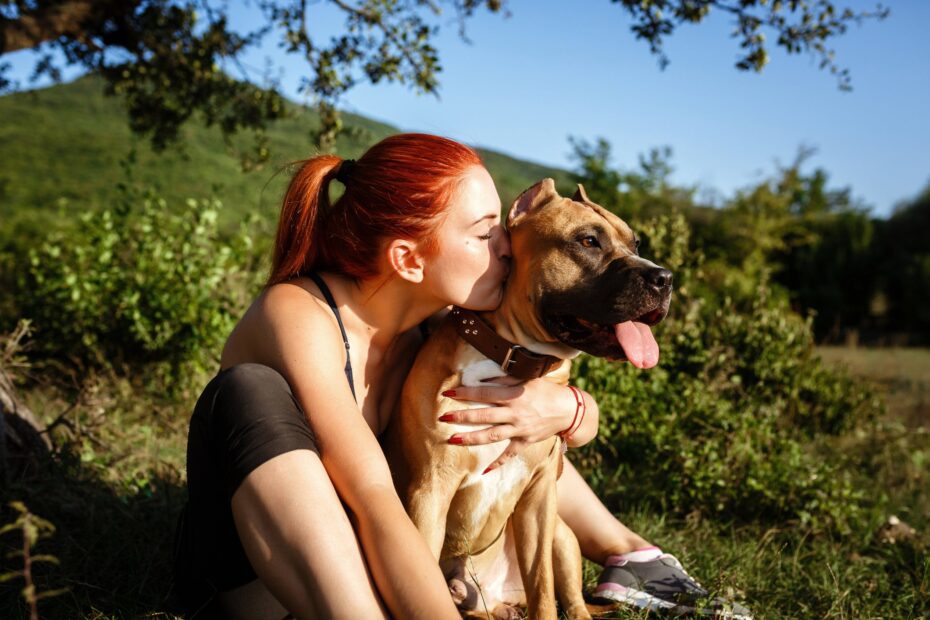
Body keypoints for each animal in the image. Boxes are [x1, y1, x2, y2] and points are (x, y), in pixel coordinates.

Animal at [382, 178, 668, 620]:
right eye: (588, 241)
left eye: (635, 242)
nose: (664, 277)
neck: (510, 357)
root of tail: (494, 596)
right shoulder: (429, 492)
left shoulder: (538, 499)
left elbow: (542, 587)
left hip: (562, 538)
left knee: (568, 597)